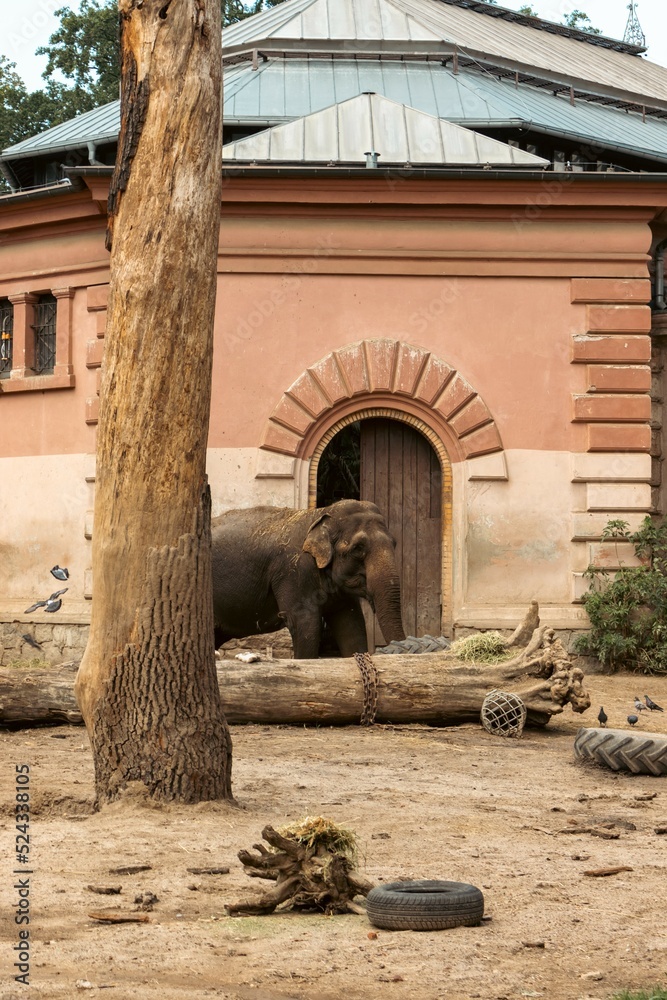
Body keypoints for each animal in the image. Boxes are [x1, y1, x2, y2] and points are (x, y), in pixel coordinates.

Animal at [211, 499, 406, 658]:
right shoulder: (294, 572)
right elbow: (305, 625)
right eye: (358, 548)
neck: (321, 513)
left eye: (395, 544)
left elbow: (352, 626)